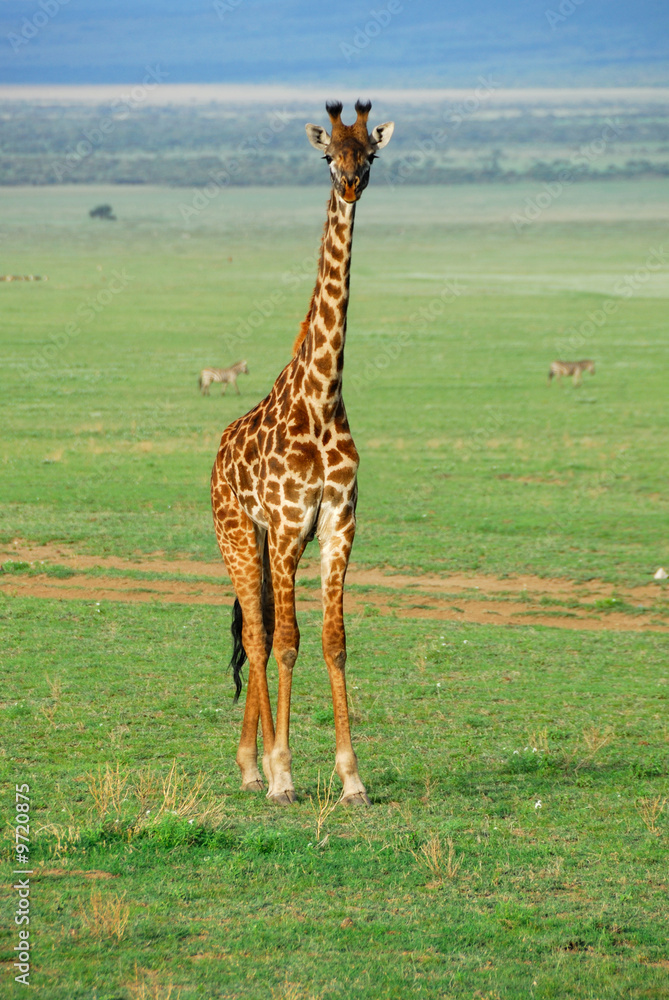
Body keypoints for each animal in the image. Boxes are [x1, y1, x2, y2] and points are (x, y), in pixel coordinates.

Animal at [210, 99, 394, 805]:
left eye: (370, 152)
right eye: (326, 155)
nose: (351, 183)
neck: (321, 398)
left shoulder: (339, 523)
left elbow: (334, 641)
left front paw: (352, 778)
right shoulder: (290, 527)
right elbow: (287, 642)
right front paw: (286, 772)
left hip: (261, 544)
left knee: (257, 631)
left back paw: (249, 764)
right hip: (239, 536)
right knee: (258, 635)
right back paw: (258, 767)